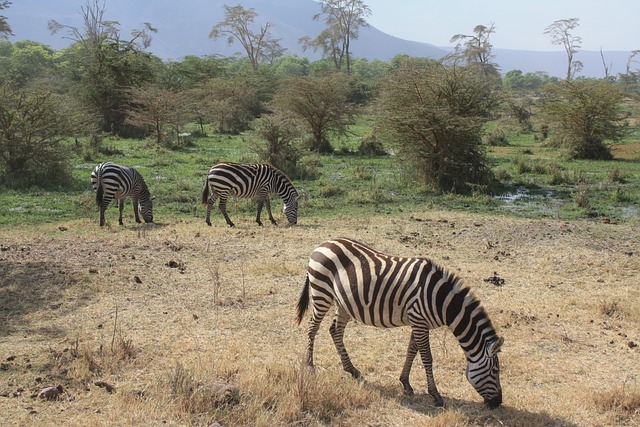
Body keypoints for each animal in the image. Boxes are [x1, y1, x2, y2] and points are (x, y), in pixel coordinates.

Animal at [296, 237, 504, 408]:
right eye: (495, 371)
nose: (498, 403)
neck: (440, 299)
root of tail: (323, 244)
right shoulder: (419, 319)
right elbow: (427, 357)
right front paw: (436, 395)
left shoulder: (419, 322)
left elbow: (412, 351)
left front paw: (406, 383)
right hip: (321, 292)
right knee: (313, 327)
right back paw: (310, 365)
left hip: (343, 301)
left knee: (335, 330)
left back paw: (352, 370)